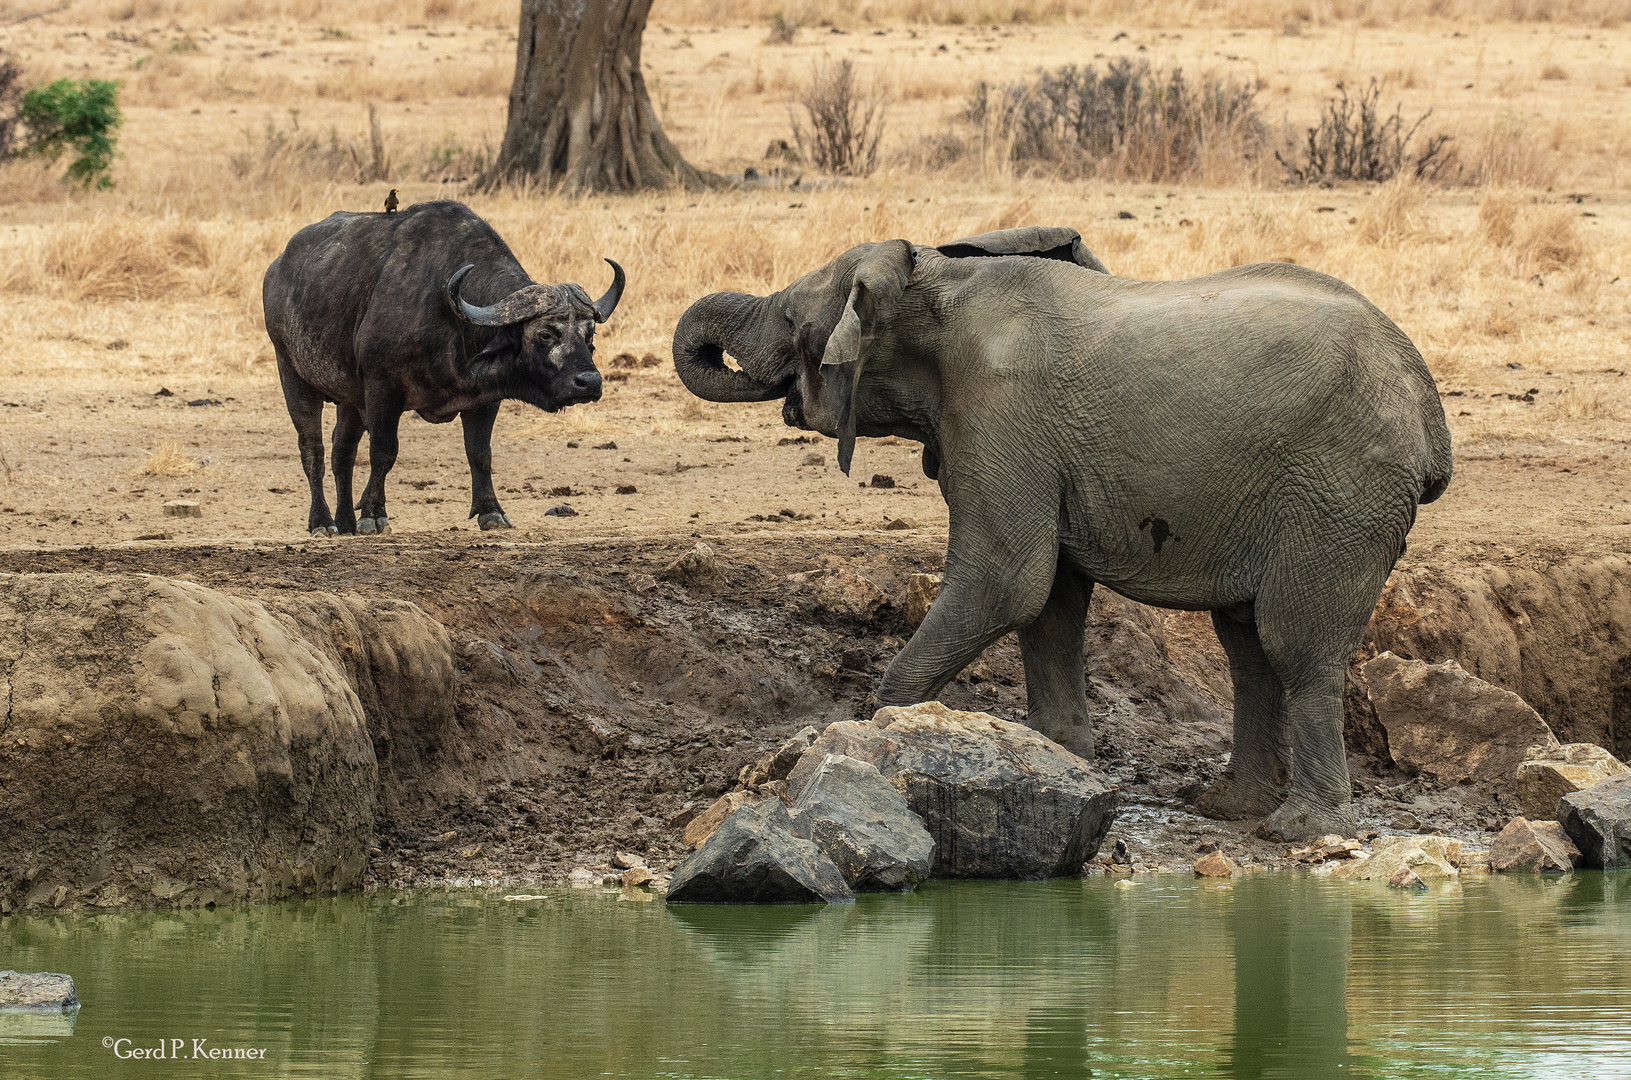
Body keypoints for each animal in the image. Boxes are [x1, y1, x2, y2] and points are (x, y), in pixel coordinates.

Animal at [260, 199, 623, 538]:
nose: (589, 382)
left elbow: (480, 453)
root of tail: (276, 269)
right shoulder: (381, 389)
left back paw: (345, 521)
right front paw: (373, 514)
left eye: (589, 335)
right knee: (313, 450)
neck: (451, 318)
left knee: (342, 452)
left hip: (350, 399)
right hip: (292, 374)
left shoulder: (485, 399)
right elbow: (383, 452)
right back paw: (322, 521)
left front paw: (491, 511)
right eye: (546, 334)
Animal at [675, 223, 1454, 841]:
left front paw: (881, 734)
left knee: (1295, 643)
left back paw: (1298, 829)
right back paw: (1228, 807)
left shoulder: (997, 408)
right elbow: (1050, 599)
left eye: (788, 317)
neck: (934, 281)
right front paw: (1057, 758)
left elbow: (1006, 580)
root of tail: (1424, 394)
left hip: (1341, 489)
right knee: (1247, 644)